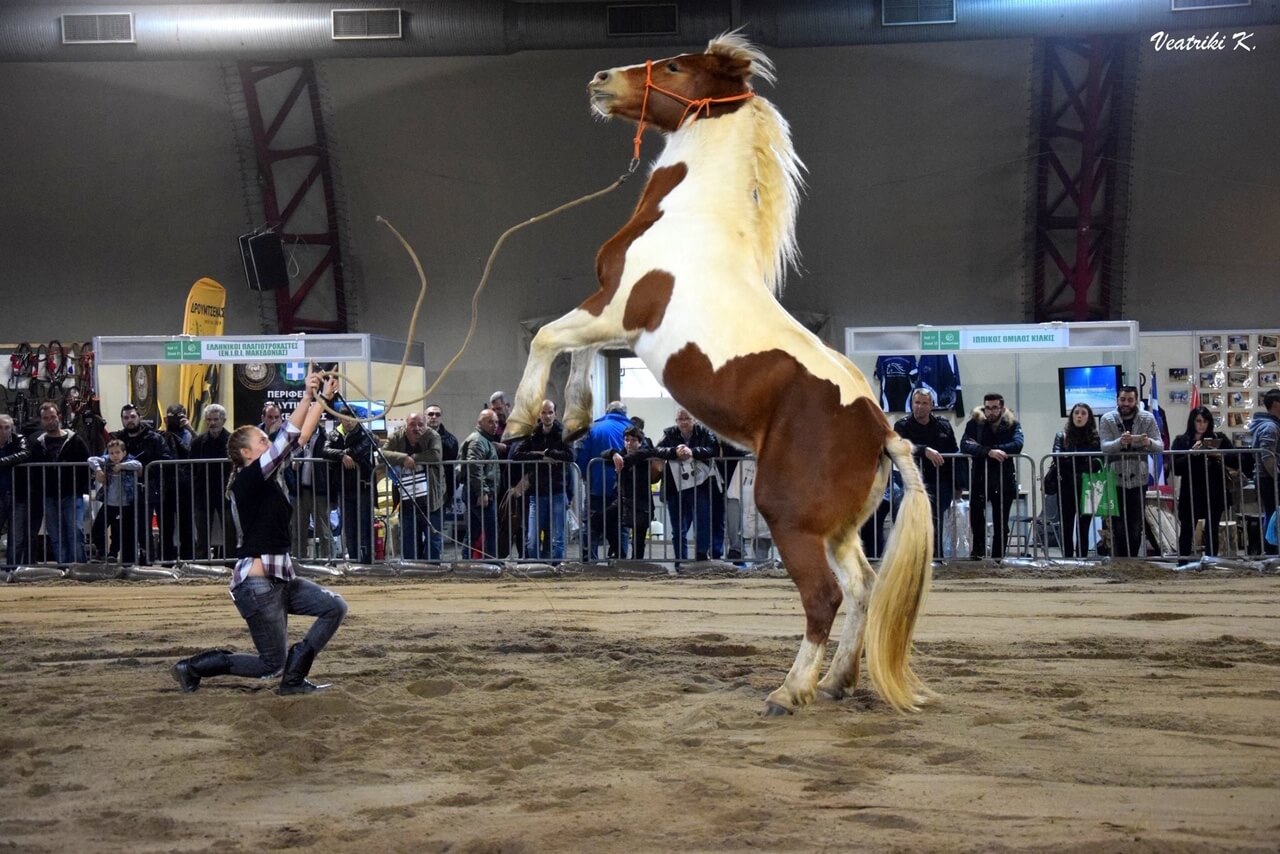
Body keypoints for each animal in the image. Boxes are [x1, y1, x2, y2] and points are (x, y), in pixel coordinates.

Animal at [504, 33, 936, 717]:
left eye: (676, 66)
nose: (601, 80)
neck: (688, 218)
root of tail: (880, 427)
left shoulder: (616, 306)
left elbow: (550, 338)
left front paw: (522, 422)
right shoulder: (612, 322)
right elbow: (580, 359)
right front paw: (571, 420)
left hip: (787, 516)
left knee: (824, 598)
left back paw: (791, 690)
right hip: (838, 530)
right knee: (863, 589)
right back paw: (837, 682)